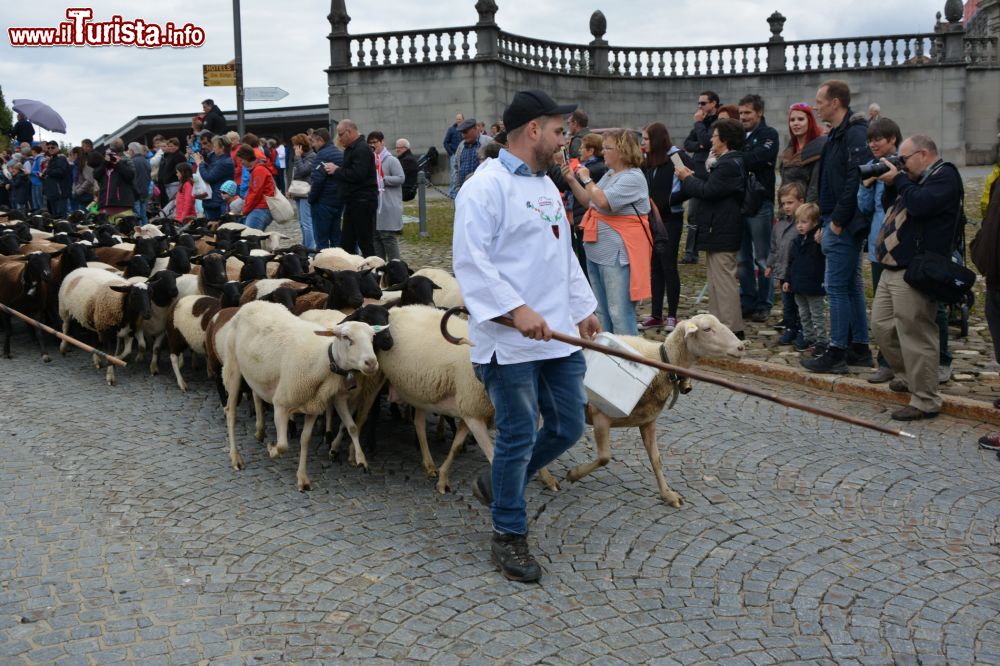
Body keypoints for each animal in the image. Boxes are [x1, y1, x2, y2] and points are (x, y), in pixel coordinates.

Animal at [222, 298, 382, 490]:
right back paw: (236, 458)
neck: (323, 362)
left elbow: (305, 440)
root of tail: (253, 303)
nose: (371, 363)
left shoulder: (313, 406)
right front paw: (271, 449)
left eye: (372, 337)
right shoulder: (281, 404)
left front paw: (303, 479)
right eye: (346, 337)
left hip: (256, 373)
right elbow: (283, 446)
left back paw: (259, 432)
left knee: (256, 395)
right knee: (230, 412)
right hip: (232, 365)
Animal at [568, 314, 748, 506]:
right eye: (707, 329)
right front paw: (573, 474)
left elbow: (656, 459)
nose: (741, 347)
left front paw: (668, 495)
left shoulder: (648, 421)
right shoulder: (600, 415)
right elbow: (604, 457)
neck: (661, 362)